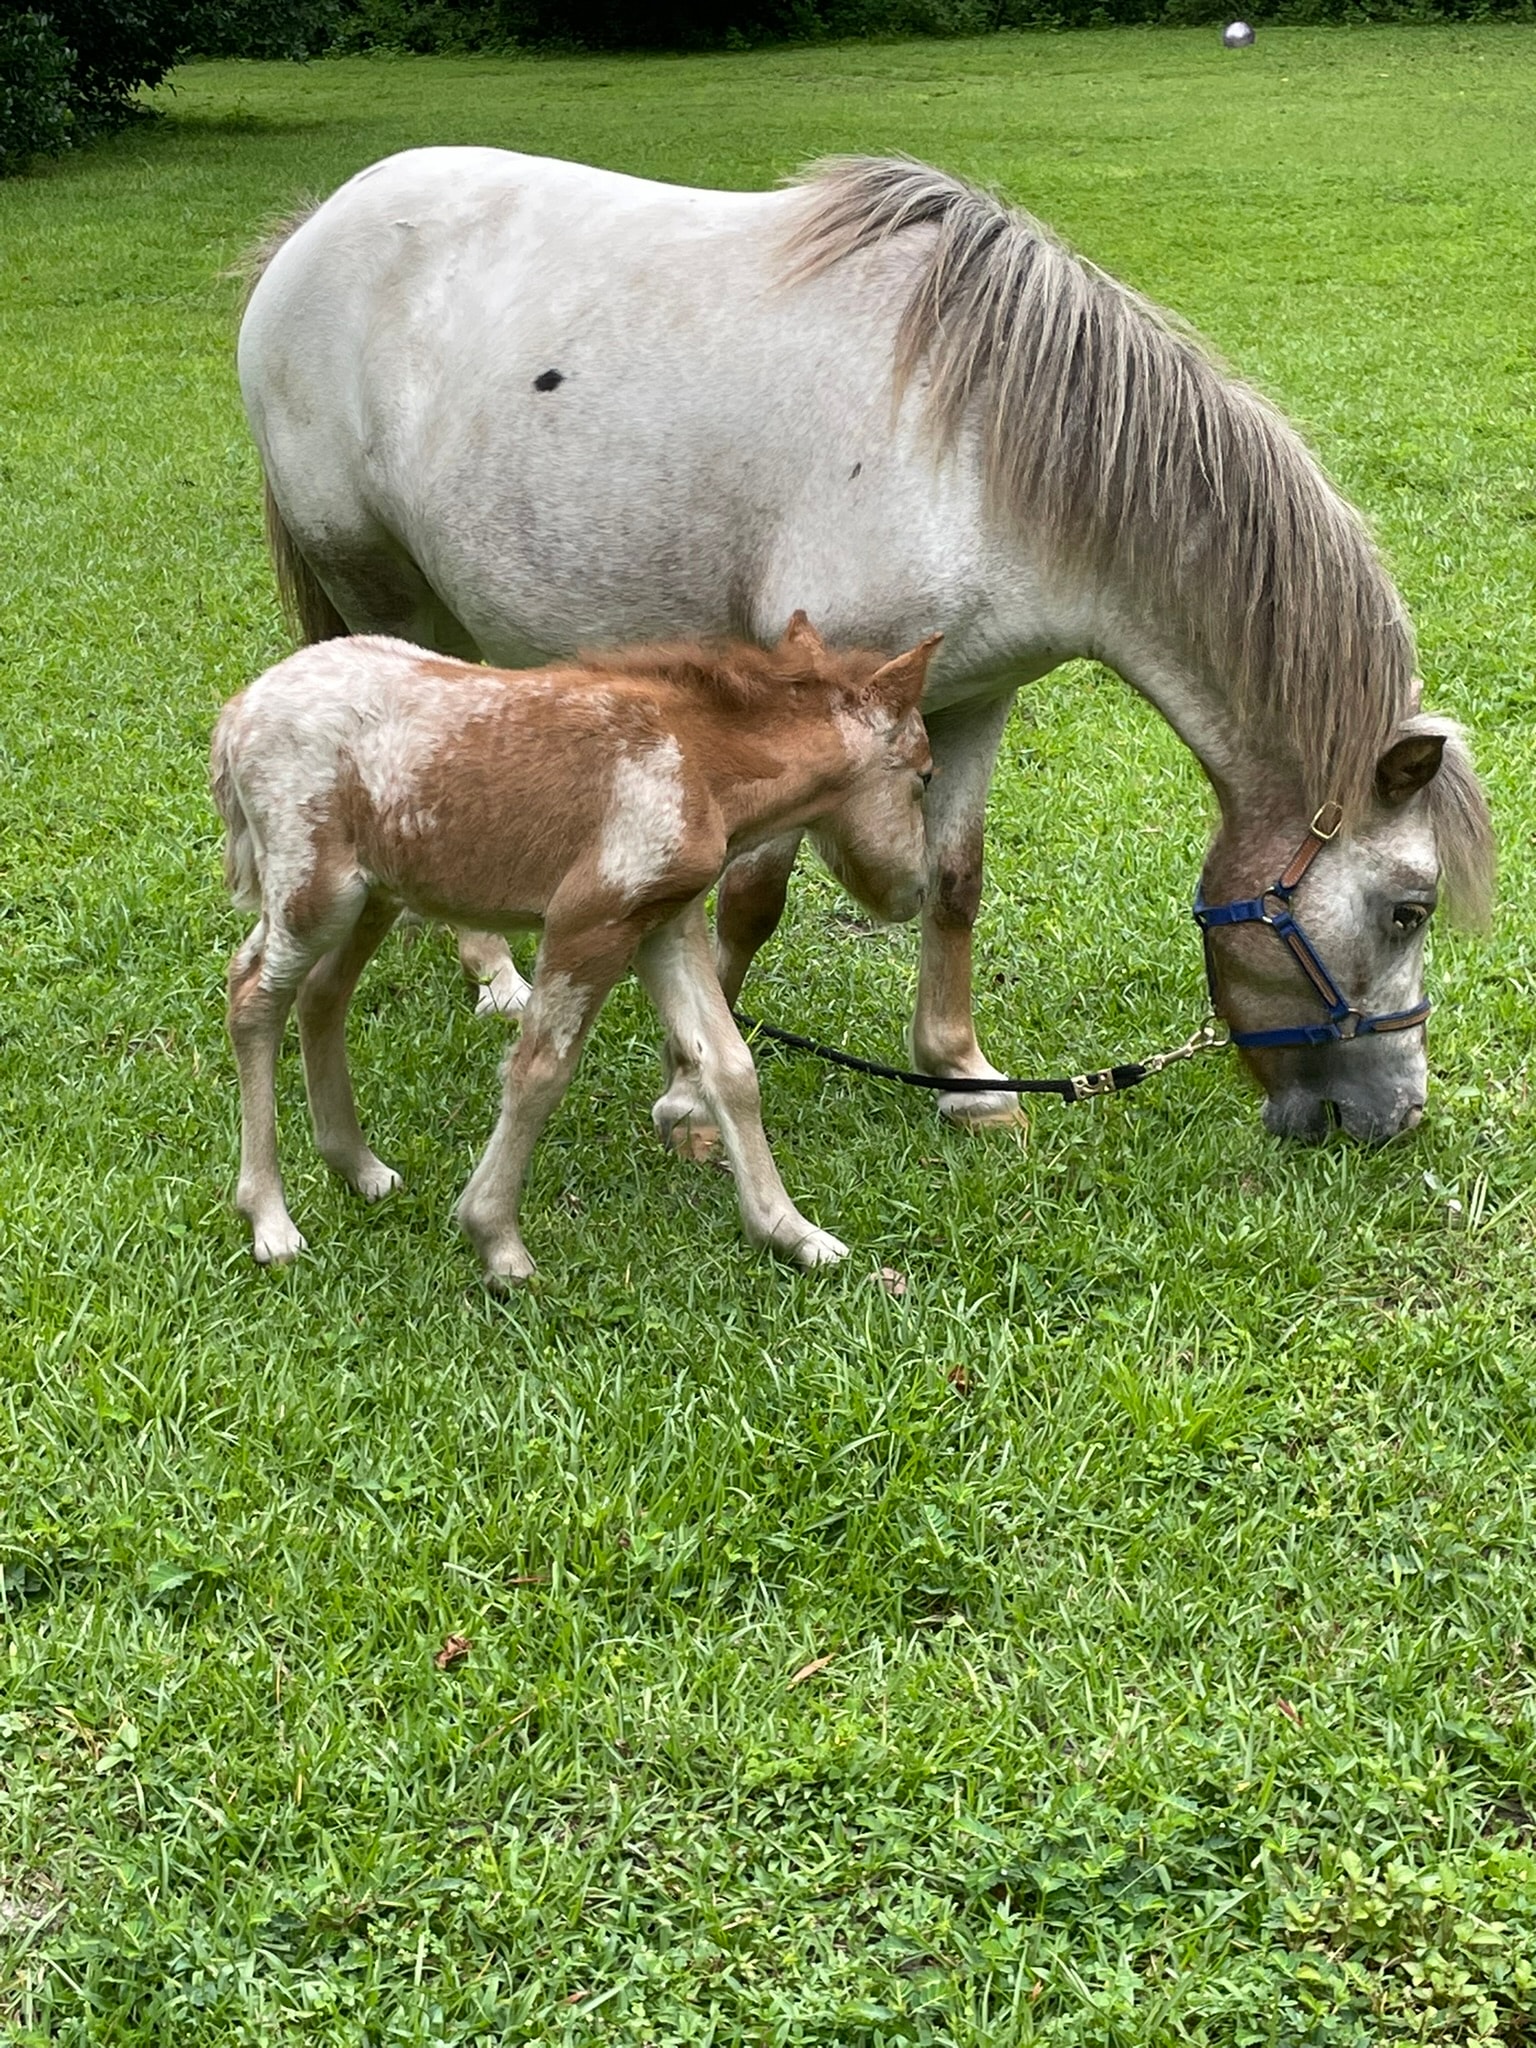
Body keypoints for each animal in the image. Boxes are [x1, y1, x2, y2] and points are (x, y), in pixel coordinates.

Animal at [210, 617, 937, 1282]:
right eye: (926, 776)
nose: (917, 891)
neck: (699, 763)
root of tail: (238, 711)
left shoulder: (664, 923)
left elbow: (729, 1065)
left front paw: (791, 1232)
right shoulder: (589, 923)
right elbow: (540, 1070)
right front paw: (497, 1242)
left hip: (375, 896)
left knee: (321, 995)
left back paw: (359, 1167)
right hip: (316, 892)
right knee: (253, 997)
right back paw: (270, 1219)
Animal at [237, 150, 1493, 1146]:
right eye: (1408, 909)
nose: (1395, 1115)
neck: (983, 451)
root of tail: (312, 227)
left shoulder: (976, 698)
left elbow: (953, 883)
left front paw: (964, 1078)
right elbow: (754, 899)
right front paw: (693, 1089)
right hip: (375, 582)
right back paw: (493, 974)